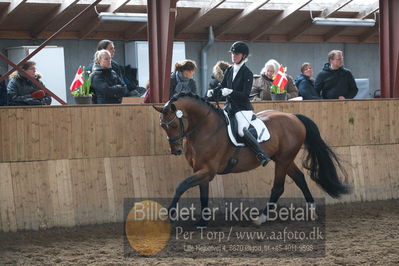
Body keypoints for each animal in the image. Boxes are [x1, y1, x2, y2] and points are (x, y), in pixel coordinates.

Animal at [153, 93, 350, 224]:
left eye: (174, 125)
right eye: (162, 126)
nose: (176, 150)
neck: (205, 130)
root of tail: (294, 117)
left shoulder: (208, 171)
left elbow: (182, 185)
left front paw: (169, 214)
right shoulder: (200, 170)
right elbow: (203, 194)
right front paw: (203, 221)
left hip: (283, 160)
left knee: (278, 187)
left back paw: (261, 217)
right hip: (283, 159)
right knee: (300, 178)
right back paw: (311, 211)